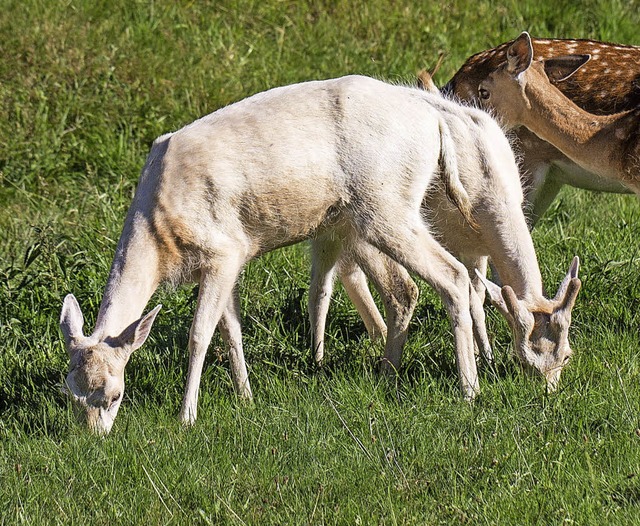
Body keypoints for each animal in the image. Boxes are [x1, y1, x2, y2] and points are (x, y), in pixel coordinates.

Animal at [60, 75, 490, 438]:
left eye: (113, 394)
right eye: (70, 393)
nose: (94, 437)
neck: (160, 231)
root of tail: (434, 122)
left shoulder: (223, 251)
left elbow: (199, 334)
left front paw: (187, 416)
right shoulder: (225, 263)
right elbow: (231, 329)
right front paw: (246, 398)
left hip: (387, 207)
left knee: (452, 275)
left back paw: (469, 389)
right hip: (374, 217)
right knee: (407, 290)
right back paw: (387, 377)